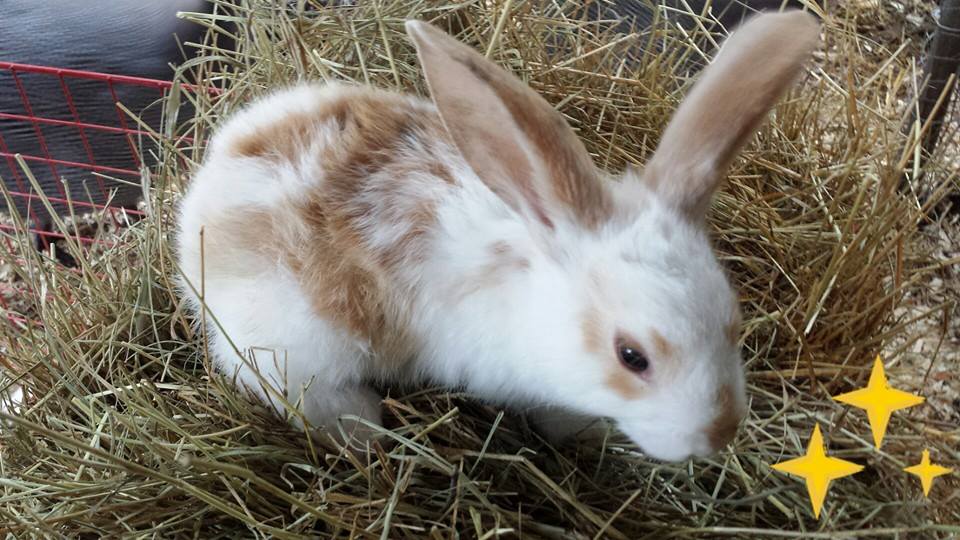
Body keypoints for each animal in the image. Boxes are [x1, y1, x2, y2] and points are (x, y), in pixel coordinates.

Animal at [174, 11, 816, 460]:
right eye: (632, 357)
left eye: (733, 322)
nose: (719, 434)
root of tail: (213, 172)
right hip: (295, 345)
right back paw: (365, 431)